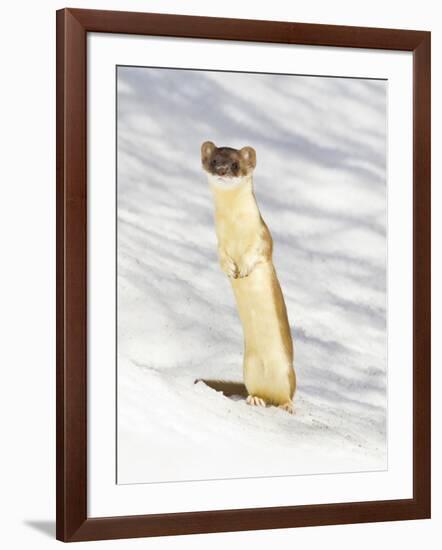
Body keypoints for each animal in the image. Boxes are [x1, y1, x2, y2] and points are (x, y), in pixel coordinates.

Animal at [201, 142, 296, 414]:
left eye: (235, 164)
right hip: (248, 368)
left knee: (287, 394)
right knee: (257, 391)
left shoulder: (263, 237)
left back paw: (286, 405)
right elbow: (221, 257)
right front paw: (230, 269)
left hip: (288, 372)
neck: (235, 229)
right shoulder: (219, 242)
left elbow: (257, 253)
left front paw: (242, 268)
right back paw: (255, 399)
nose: (222, 170)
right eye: (214, 160)